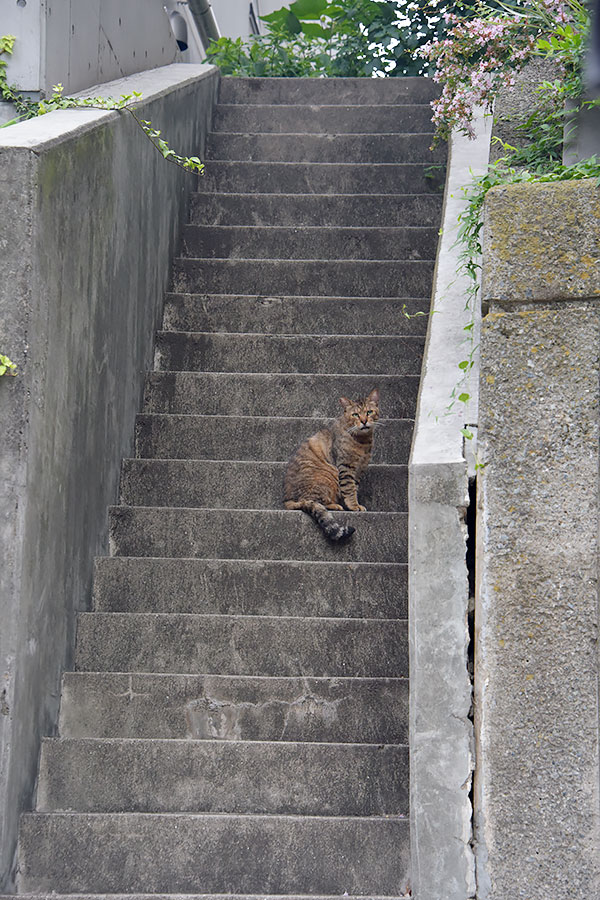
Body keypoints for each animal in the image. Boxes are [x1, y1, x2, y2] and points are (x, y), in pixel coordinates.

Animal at [282, 388, 378, 540]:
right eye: (355, 414)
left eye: (369, 412)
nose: (364, 421)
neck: (363, 441)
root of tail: (287, 500)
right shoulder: (346, 467)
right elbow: (349, 489)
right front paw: (353, 506)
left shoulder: (359, 470)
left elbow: (354, 487)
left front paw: (353, 504)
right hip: (325, 477)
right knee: (312, 501)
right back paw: (334, 505)